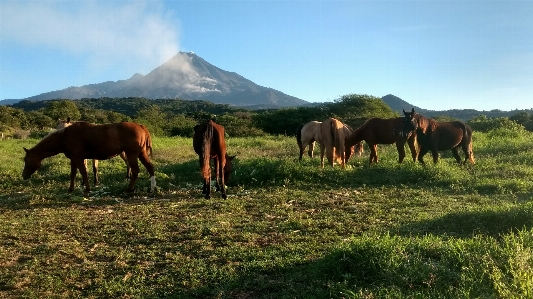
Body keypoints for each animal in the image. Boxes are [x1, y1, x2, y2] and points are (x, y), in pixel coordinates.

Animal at [23, 122, 156, 195]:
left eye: (25, 160)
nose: (23, 176)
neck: (64, 137)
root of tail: (140, 126)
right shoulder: (73, 159)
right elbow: (73, 174)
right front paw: (70, 189)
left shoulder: (78, 158)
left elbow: (84, 172)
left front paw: (87, 189)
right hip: (141, 153)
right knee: (150, 168)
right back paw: (152, 188)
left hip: (132, 154)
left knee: (136, 171)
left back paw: (129, 189)